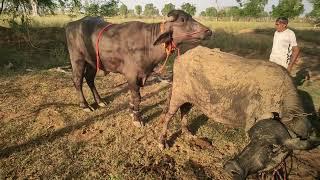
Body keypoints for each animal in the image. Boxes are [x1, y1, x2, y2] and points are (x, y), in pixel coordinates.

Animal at [65, 10, 212, 126]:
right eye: (182, 20)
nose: (208, 31)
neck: (148, 43)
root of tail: (71, 24)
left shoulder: (143, 75)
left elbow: (135, 96)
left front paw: (131, 111)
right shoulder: (131, 75)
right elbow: (137, 97)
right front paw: (137, 118)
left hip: (92, 62)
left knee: (89, 79)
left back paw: (100, 101)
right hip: (78, 60)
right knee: (77, 80)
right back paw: (85, 105)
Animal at [159, 45, 314, 148]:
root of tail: (181, 57)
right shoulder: (254, 121)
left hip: (191, 97)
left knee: (184, 111)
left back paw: (188, 134)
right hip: (177, 94)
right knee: (168, 116)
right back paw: (162, 141)